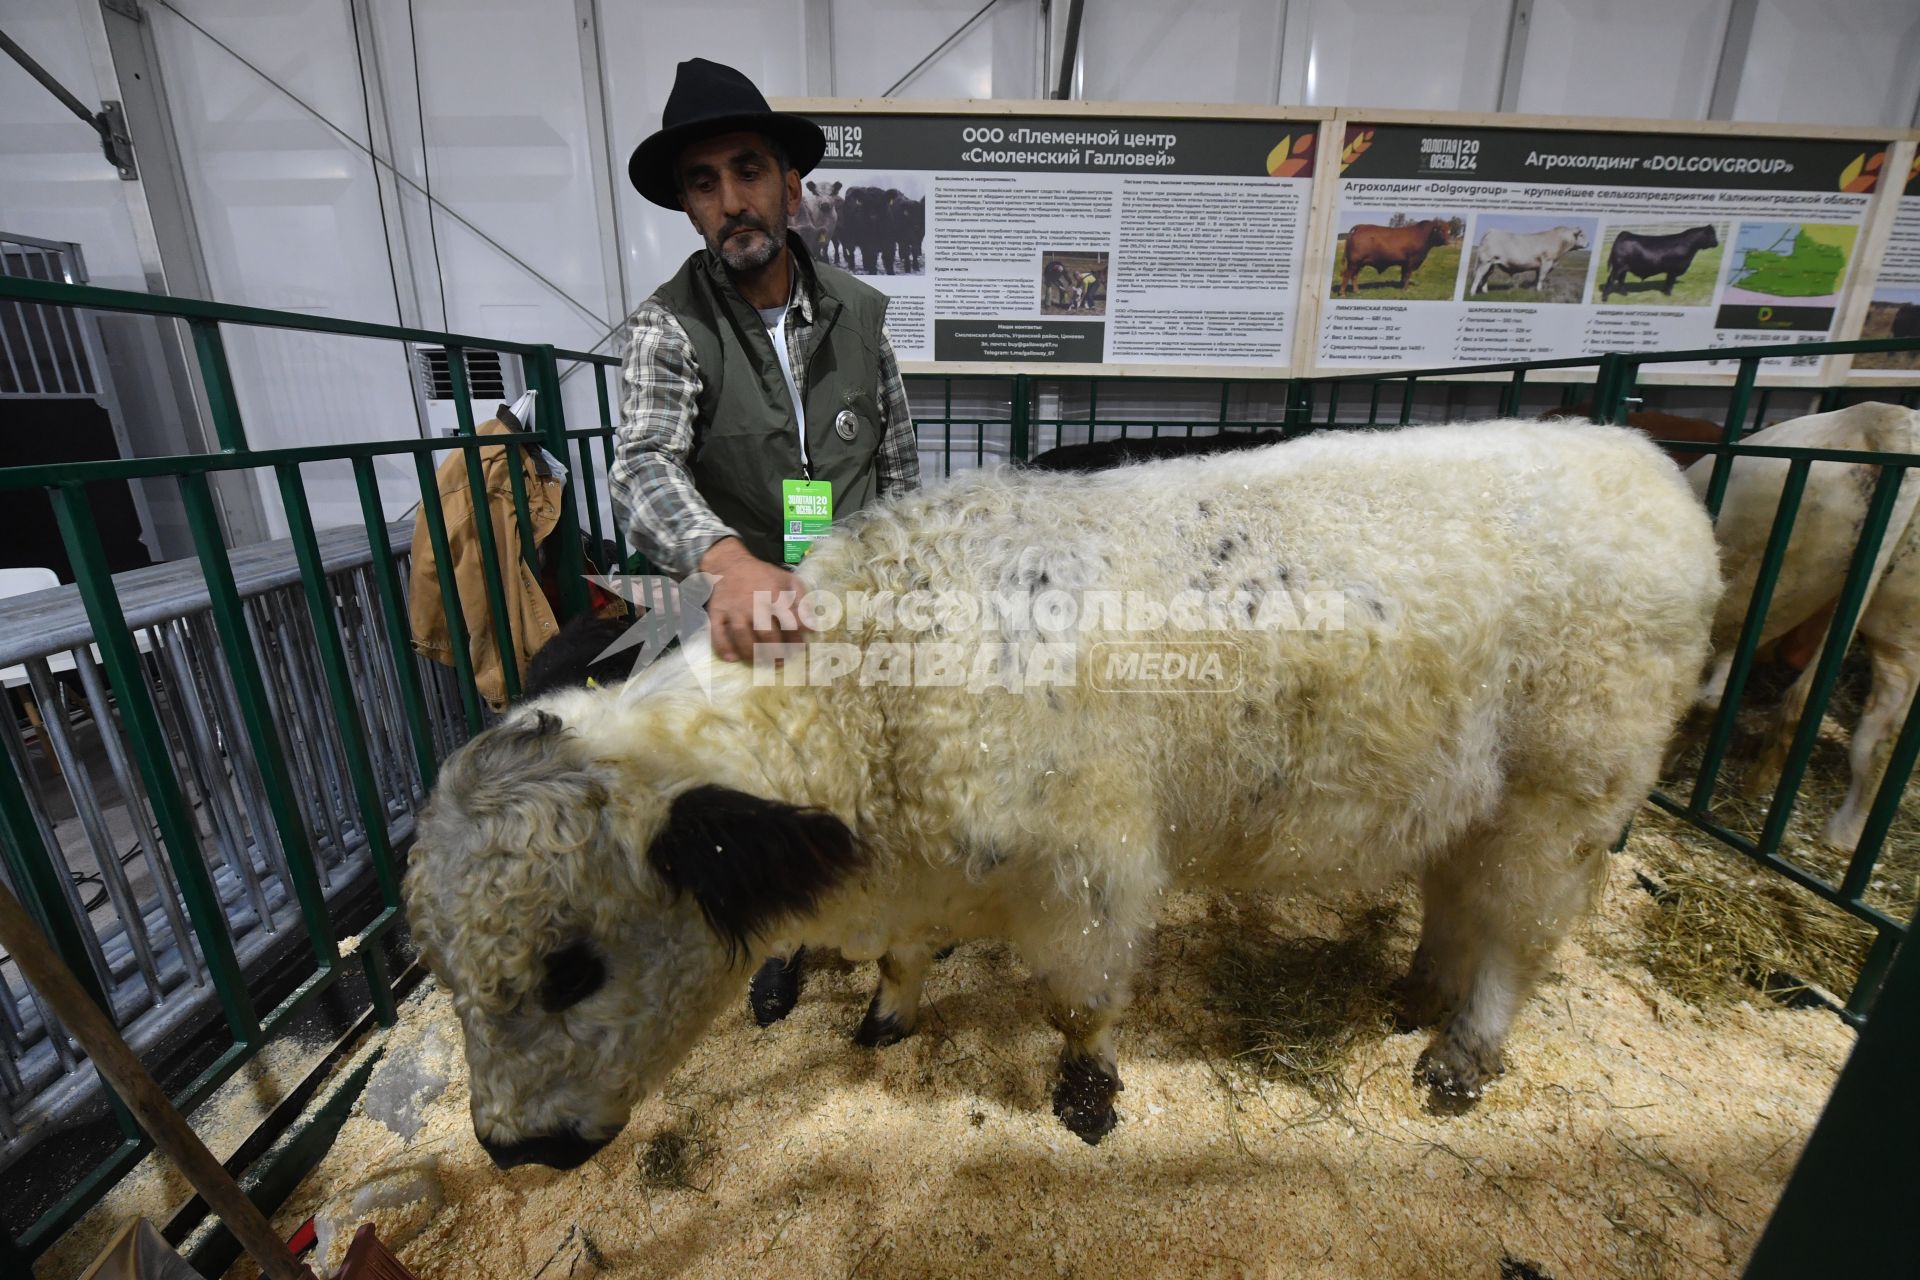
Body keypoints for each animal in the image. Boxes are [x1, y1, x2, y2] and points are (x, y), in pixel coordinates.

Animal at [397, 422, 1720, 1174]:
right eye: (451, 973)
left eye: (572, 965)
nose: (509, 1149)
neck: (879, 695)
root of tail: (1650, 461)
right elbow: (906, 961)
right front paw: (886, 1013)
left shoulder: (1092, 869)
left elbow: (1081, 1003)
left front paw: (1088, 1097)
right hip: (1480, 795)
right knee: (1457, 898)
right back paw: (1413, 993)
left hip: (1566, 796)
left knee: (1515, 933)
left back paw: (1461, 1047)